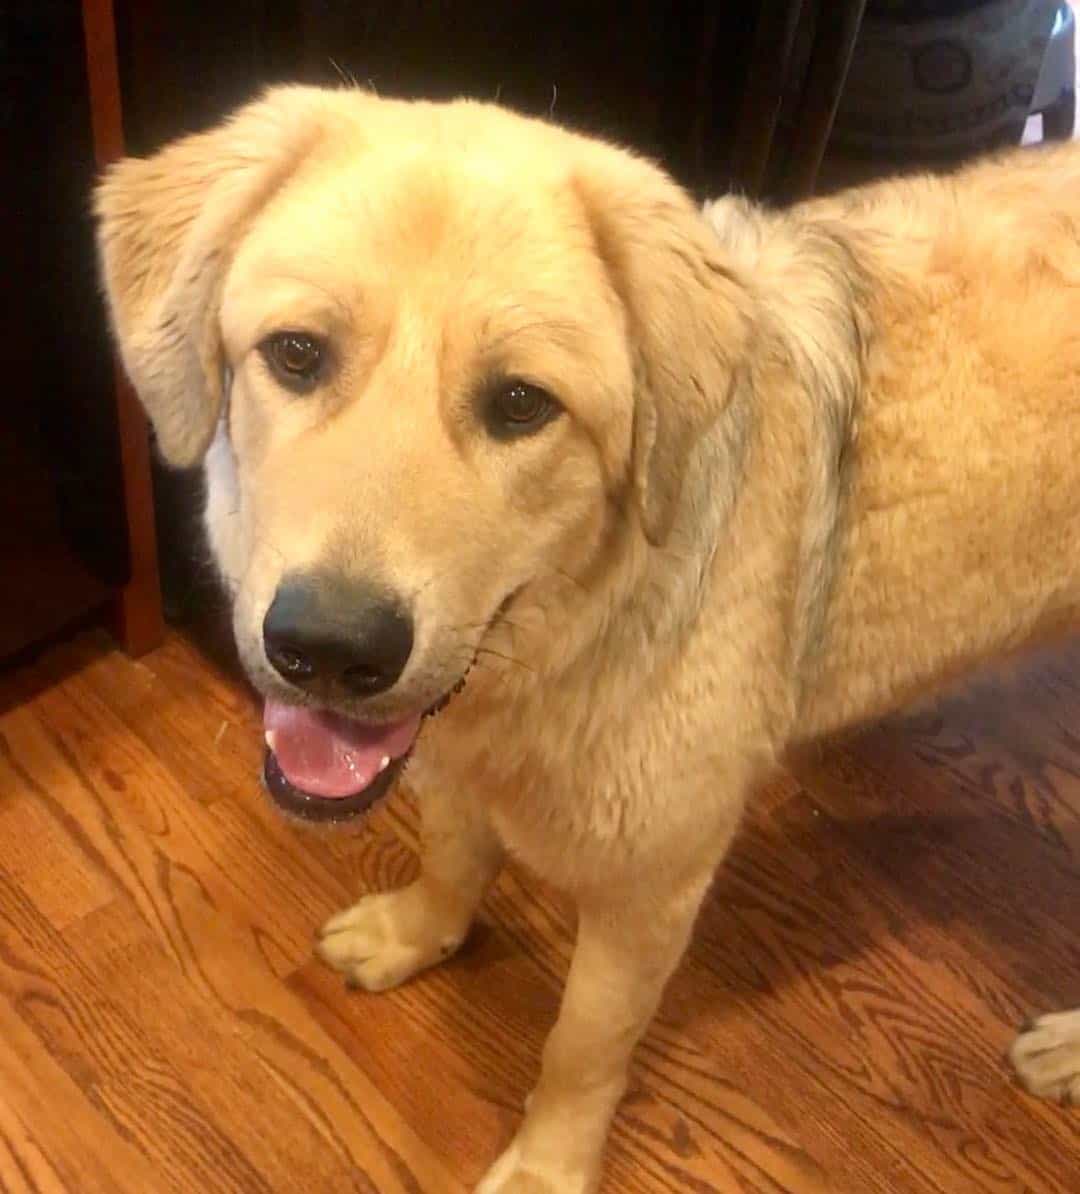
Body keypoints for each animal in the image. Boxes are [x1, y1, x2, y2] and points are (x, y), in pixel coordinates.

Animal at [90, 88, 1078, 1189]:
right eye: (296, 354)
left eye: (522, 405)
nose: (334, 650)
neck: (566, 643)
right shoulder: (451, 762)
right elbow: (453, 862)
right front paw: (417, 935)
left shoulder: (650, 895)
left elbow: (581, 1048)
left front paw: (547, 1164)